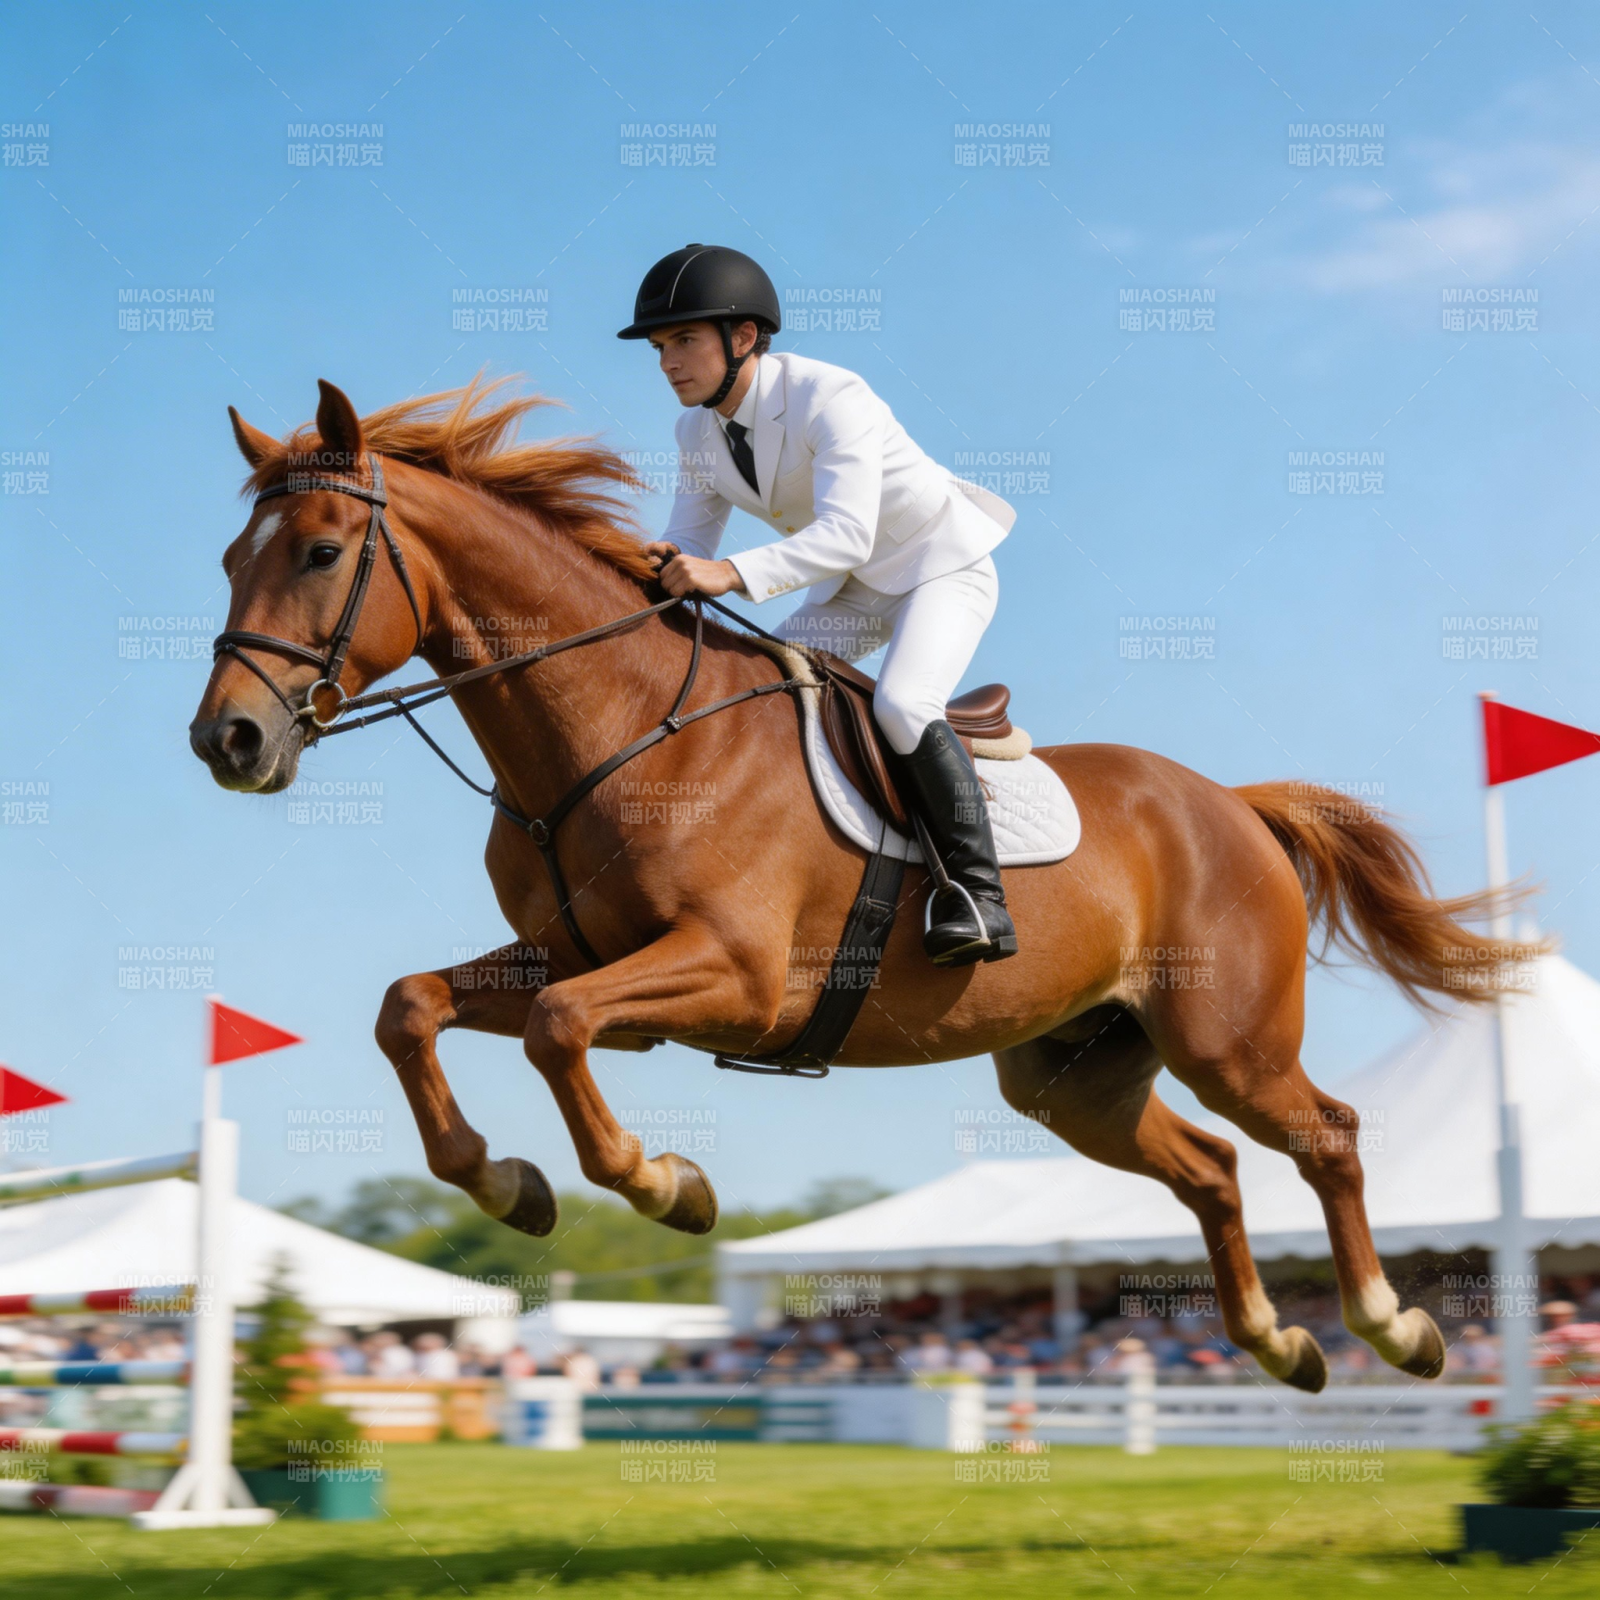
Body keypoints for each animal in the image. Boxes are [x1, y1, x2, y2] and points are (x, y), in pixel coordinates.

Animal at [190, 377, 1539, 1392]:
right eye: (227, 558)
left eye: (320, 553)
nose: (228, 742)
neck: (613, 731)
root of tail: (1229, 803)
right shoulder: (580, 960)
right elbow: (412, 1005)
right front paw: (508, 1184)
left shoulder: (731, 979)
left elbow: (559, 1034)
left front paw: (665, 1185)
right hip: (1074, 1076)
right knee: (1209, 1167)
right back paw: (1278, 1340)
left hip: (1228, 1040)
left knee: (1329, 1136)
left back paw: (1390, 1325)